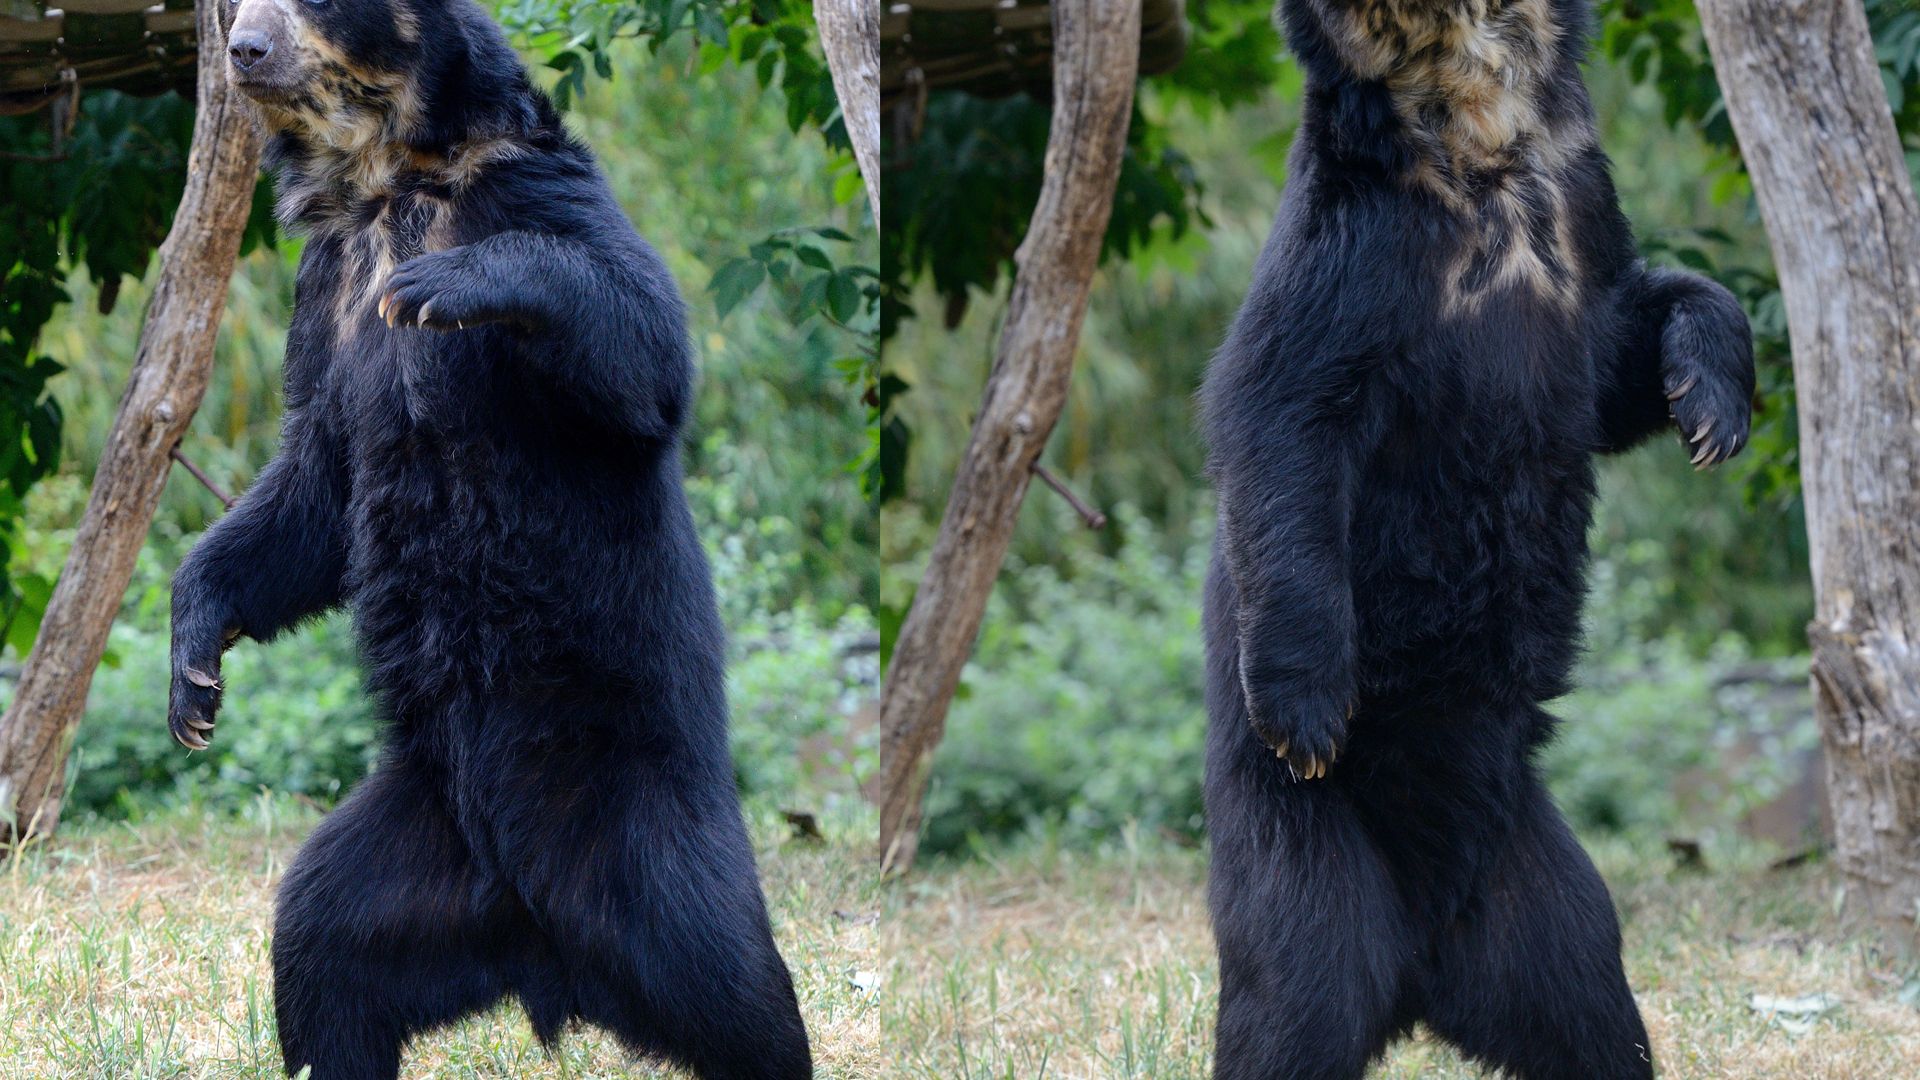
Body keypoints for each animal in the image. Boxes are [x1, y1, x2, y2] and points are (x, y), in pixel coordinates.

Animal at [168, 2, 814, 1076]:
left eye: (311, 7)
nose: (243, 53)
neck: (386, 179)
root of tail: (546, 952)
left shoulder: (532, 187)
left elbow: (642, 339)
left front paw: (447, 284)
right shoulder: (327, 287)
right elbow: (313, 485)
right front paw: (193, 684)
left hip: (646, 820)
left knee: (735, 985)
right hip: (415, 839)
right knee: (320, 951)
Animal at [1198, 2, 1758, 1076]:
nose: (1306, 733)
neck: (1470, 127)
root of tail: (1416, 981)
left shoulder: (1579, 205)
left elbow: (1623, 349)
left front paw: (1712, 409)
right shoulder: (1356, 236)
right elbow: (1279, 409)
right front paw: (1307, 709)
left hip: (1537, 883)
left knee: (1591, 1002)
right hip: (1296, 848)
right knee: (1295, 996)